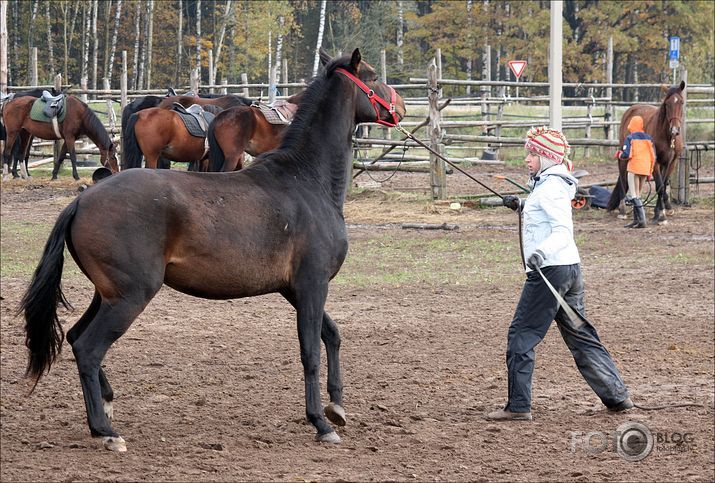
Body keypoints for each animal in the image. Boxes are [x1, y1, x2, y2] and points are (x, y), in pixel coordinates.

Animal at [19, 48, 406, 454]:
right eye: (373, 76)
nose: (399, 108)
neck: (306, 181)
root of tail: (81, 201)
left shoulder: (294, 288)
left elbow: (331, 335)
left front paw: (337, 407)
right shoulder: (312, 284)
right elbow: (310, 351)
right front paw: (320, 421)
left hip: (108, 294)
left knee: (76, 338)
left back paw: (107, 407)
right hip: (130, 296)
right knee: (89, 348)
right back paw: (106, 430)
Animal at [608, 82, 688, 225]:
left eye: (681, 102)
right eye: (667, 104)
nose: (674, 130)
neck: (667, 137)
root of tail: (631, 109)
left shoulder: (671, 163)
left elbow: (663, 185)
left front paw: (661, 211)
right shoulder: (655, 162)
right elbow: (660, 186)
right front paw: (661, 215)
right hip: (624, 155)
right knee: (623, 178)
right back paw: (622, 210)